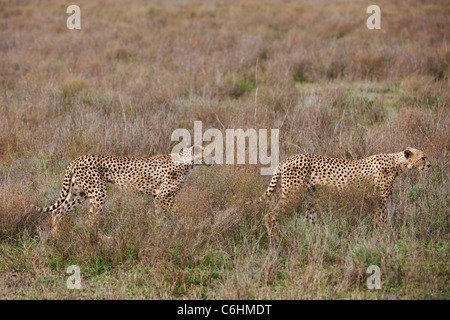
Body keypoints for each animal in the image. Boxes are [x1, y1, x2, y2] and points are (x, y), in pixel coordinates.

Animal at [33, 146, 213, 236]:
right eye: (208, 154)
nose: (213, 160)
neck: (186, 162)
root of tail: (76, 159)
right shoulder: (164, 196)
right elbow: (176, 213)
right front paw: (183, 226)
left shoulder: (160, 197)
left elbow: (160, 216)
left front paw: (159, 229)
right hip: (99, 192)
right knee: (90, 221)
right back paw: (100, 240)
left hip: (78, 193)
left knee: (57, 212)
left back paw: (56, 237)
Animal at [258, 148, 430, 235]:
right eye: (422, 157)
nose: (429, 165)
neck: (396, 164)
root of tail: (286, 160)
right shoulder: (381, 201)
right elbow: (381, 220)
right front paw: (384, 236)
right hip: (292, 195)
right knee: (270, 215)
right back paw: (273, 240)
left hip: (310, 197)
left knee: (309, 220)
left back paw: (315, 237)